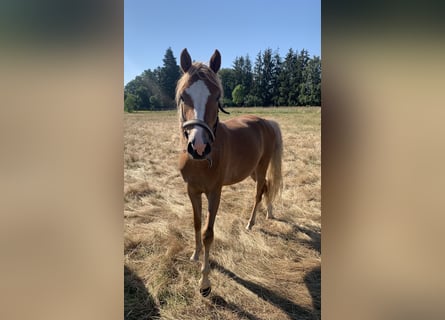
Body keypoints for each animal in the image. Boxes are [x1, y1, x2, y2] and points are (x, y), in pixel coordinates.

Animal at [176, 48, 282, 296]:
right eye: (184, 96)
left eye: (217, 96)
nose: (199, 147)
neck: (200, 162)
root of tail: (266, 122)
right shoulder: (192, 191)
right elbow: (196, 224)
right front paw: (195, 255)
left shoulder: (215, 192)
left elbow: (208, 233)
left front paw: (205, 282)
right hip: (251, 170)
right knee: (267, 187)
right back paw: (269, 212)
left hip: (261, 167)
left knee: (259, 192)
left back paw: (251, 223)